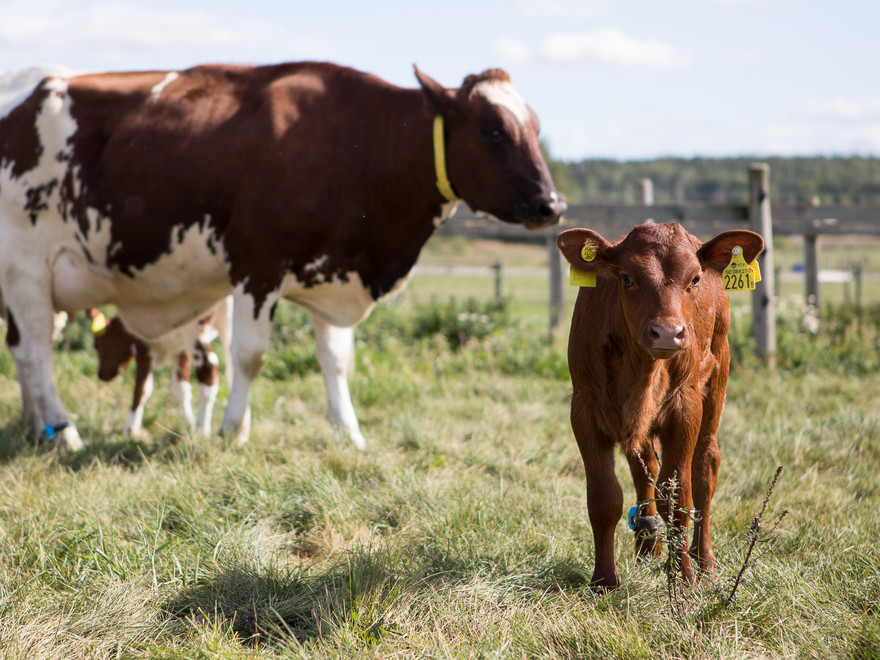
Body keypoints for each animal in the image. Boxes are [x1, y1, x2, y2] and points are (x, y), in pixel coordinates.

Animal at [87, 297, 232, 436]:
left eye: (96, 344)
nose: (101, 375)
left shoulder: (143, 347)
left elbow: (142, 388)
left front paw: (131, 428)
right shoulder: (181, 350)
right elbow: (181, 388)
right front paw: (189, 422)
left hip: (194, 328)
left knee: (209, 365)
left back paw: (203, 429)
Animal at [557, 222, 763, 590]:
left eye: (694, 279)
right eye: (626, 278)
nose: (667, 333)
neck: (640, 373)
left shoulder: (685, 409)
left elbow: (679, 496)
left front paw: (684, 578)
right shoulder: (584, 410)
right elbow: (605, 498)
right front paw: (604, 580)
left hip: (717, 382)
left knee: (705, 468)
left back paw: (704, 560)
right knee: (647, 469)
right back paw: (648, 545)